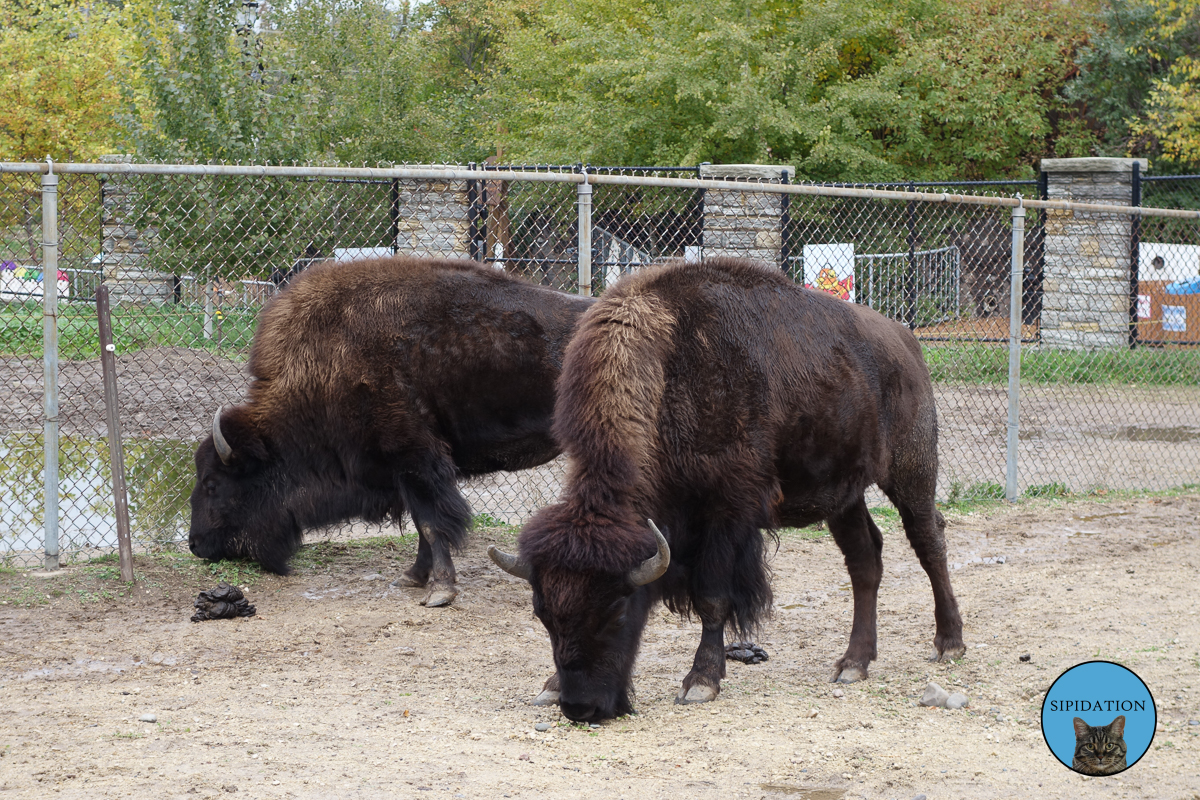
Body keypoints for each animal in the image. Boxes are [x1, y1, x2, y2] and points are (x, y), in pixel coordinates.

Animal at [188, 256, 595, 606]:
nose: (195, 544)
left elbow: (432, 524)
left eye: (212, 484)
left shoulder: (417, 461)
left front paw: (440, 591)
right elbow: (421, 524)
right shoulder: (407, 472)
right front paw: (412, 577)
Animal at [487, 257, 964, 724]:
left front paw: (700, 682)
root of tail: (906, 342)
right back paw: (853, 663)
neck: (668, 370)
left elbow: (713, 598)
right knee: (865, 559)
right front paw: (550, 686)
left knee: (929, 540)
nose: (581, 707)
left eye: (617, 610)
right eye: (542, 613)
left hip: (911, 471)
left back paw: (949, 642)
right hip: (843, 495)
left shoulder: (726, 510)